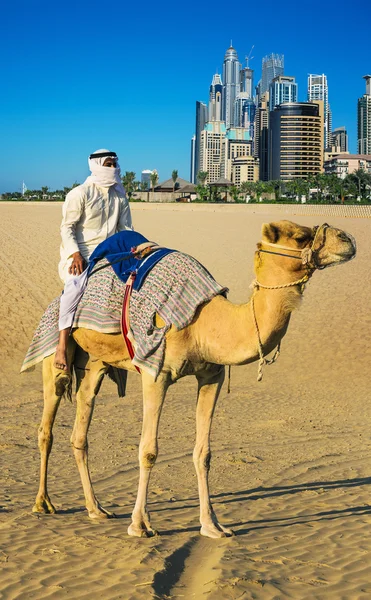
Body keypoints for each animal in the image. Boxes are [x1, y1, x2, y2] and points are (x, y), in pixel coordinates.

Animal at [30, 220, 356, 540]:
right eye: (300, 236)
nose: (348, 239)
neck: (208, 322)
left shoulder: (212, 374)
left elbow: (204, 453)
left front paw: (213, 525)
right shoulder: (156, 373)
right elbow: (148, 450)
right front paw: (140, 525)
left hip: (95, 365)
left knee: (80, 428)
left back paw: (95, 508)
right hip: (54, 355)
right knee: (47, 426)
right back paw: (43, 503)